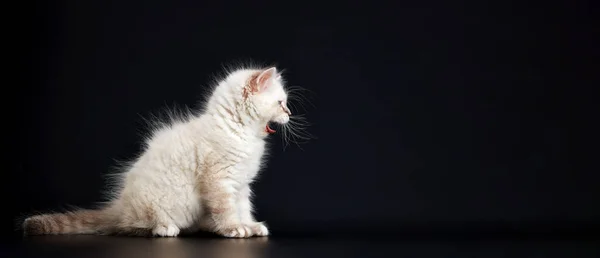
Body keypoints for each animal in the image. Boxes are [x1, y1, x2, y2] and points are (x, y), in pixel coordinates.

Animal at [22, 65, 298, 238]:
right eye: (281, 103)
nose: (289, 114)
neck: (240, 132)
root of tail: (120, 205)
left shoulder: (241, 184)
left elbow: (243, 208)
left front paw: (250, 226)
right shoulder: (219, 181)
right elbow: (227, 210)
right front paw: (235, 229)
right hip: (161, 204)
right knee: (127, 226)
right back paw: (165, 228)